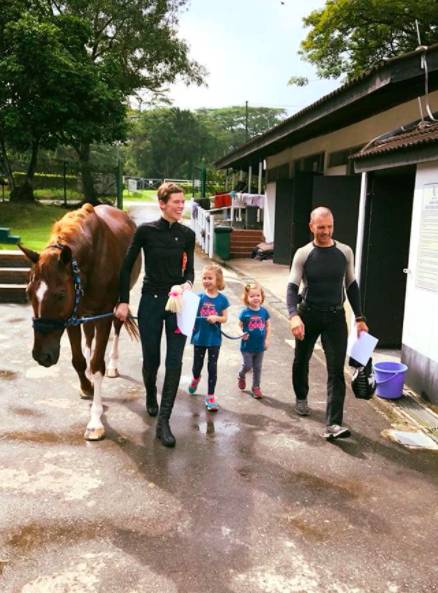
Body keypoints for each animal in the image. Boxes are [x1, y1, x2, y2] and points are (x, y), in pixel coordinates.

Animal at [20, 204, 140, 440]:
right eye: (28, 293)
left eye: (59, 295)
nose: (41, 355)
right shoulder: (71, 316)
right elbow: (78, 361)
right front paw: (87, 386)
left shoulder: (104, 314)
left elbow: (97, 364)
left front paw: (95, 421)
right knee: (88, 336)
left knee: (116, 331)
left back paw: (113, 365)